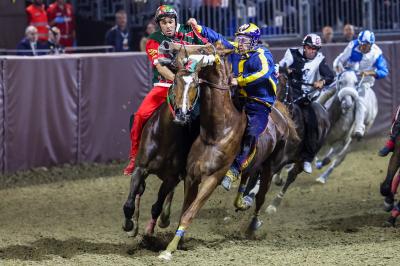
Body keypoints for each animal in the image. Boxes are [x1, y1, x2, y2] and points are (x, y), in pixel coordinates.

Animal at [158, 42, 298, 260]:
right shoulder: (192, 177)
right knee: (246, 177)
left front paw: (169, 250)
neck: (216, 133)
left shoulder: (212, 179)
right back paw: (241, 201)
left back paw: (252, 226)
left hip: (269, 168)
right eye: (177, 82)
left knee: (260, 198)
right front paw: (177, 242)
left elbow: (189, 213)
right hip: (254, 165)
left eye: (203, 50)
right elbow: (184, 212)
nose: (169, 46)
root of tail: (280, 114)